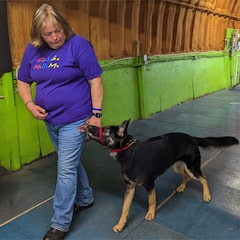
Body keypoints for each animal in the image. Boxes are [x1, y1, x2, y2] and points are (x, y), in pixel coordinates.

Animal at [84, 120, 238, 232]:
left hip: (192, 168)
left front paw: (151, 214)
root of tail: (191, 137)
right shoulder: (129, 188)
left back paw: (206, 195)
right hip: (177, 166)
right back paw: (181, 187)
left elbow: (152, 201)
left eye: (106, 130)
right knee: (185, 176)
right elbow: (124, 208)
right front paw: (121, 224)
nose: (89, 126)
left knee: (203, 179)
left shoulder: (149, 184)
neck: (128, 151)